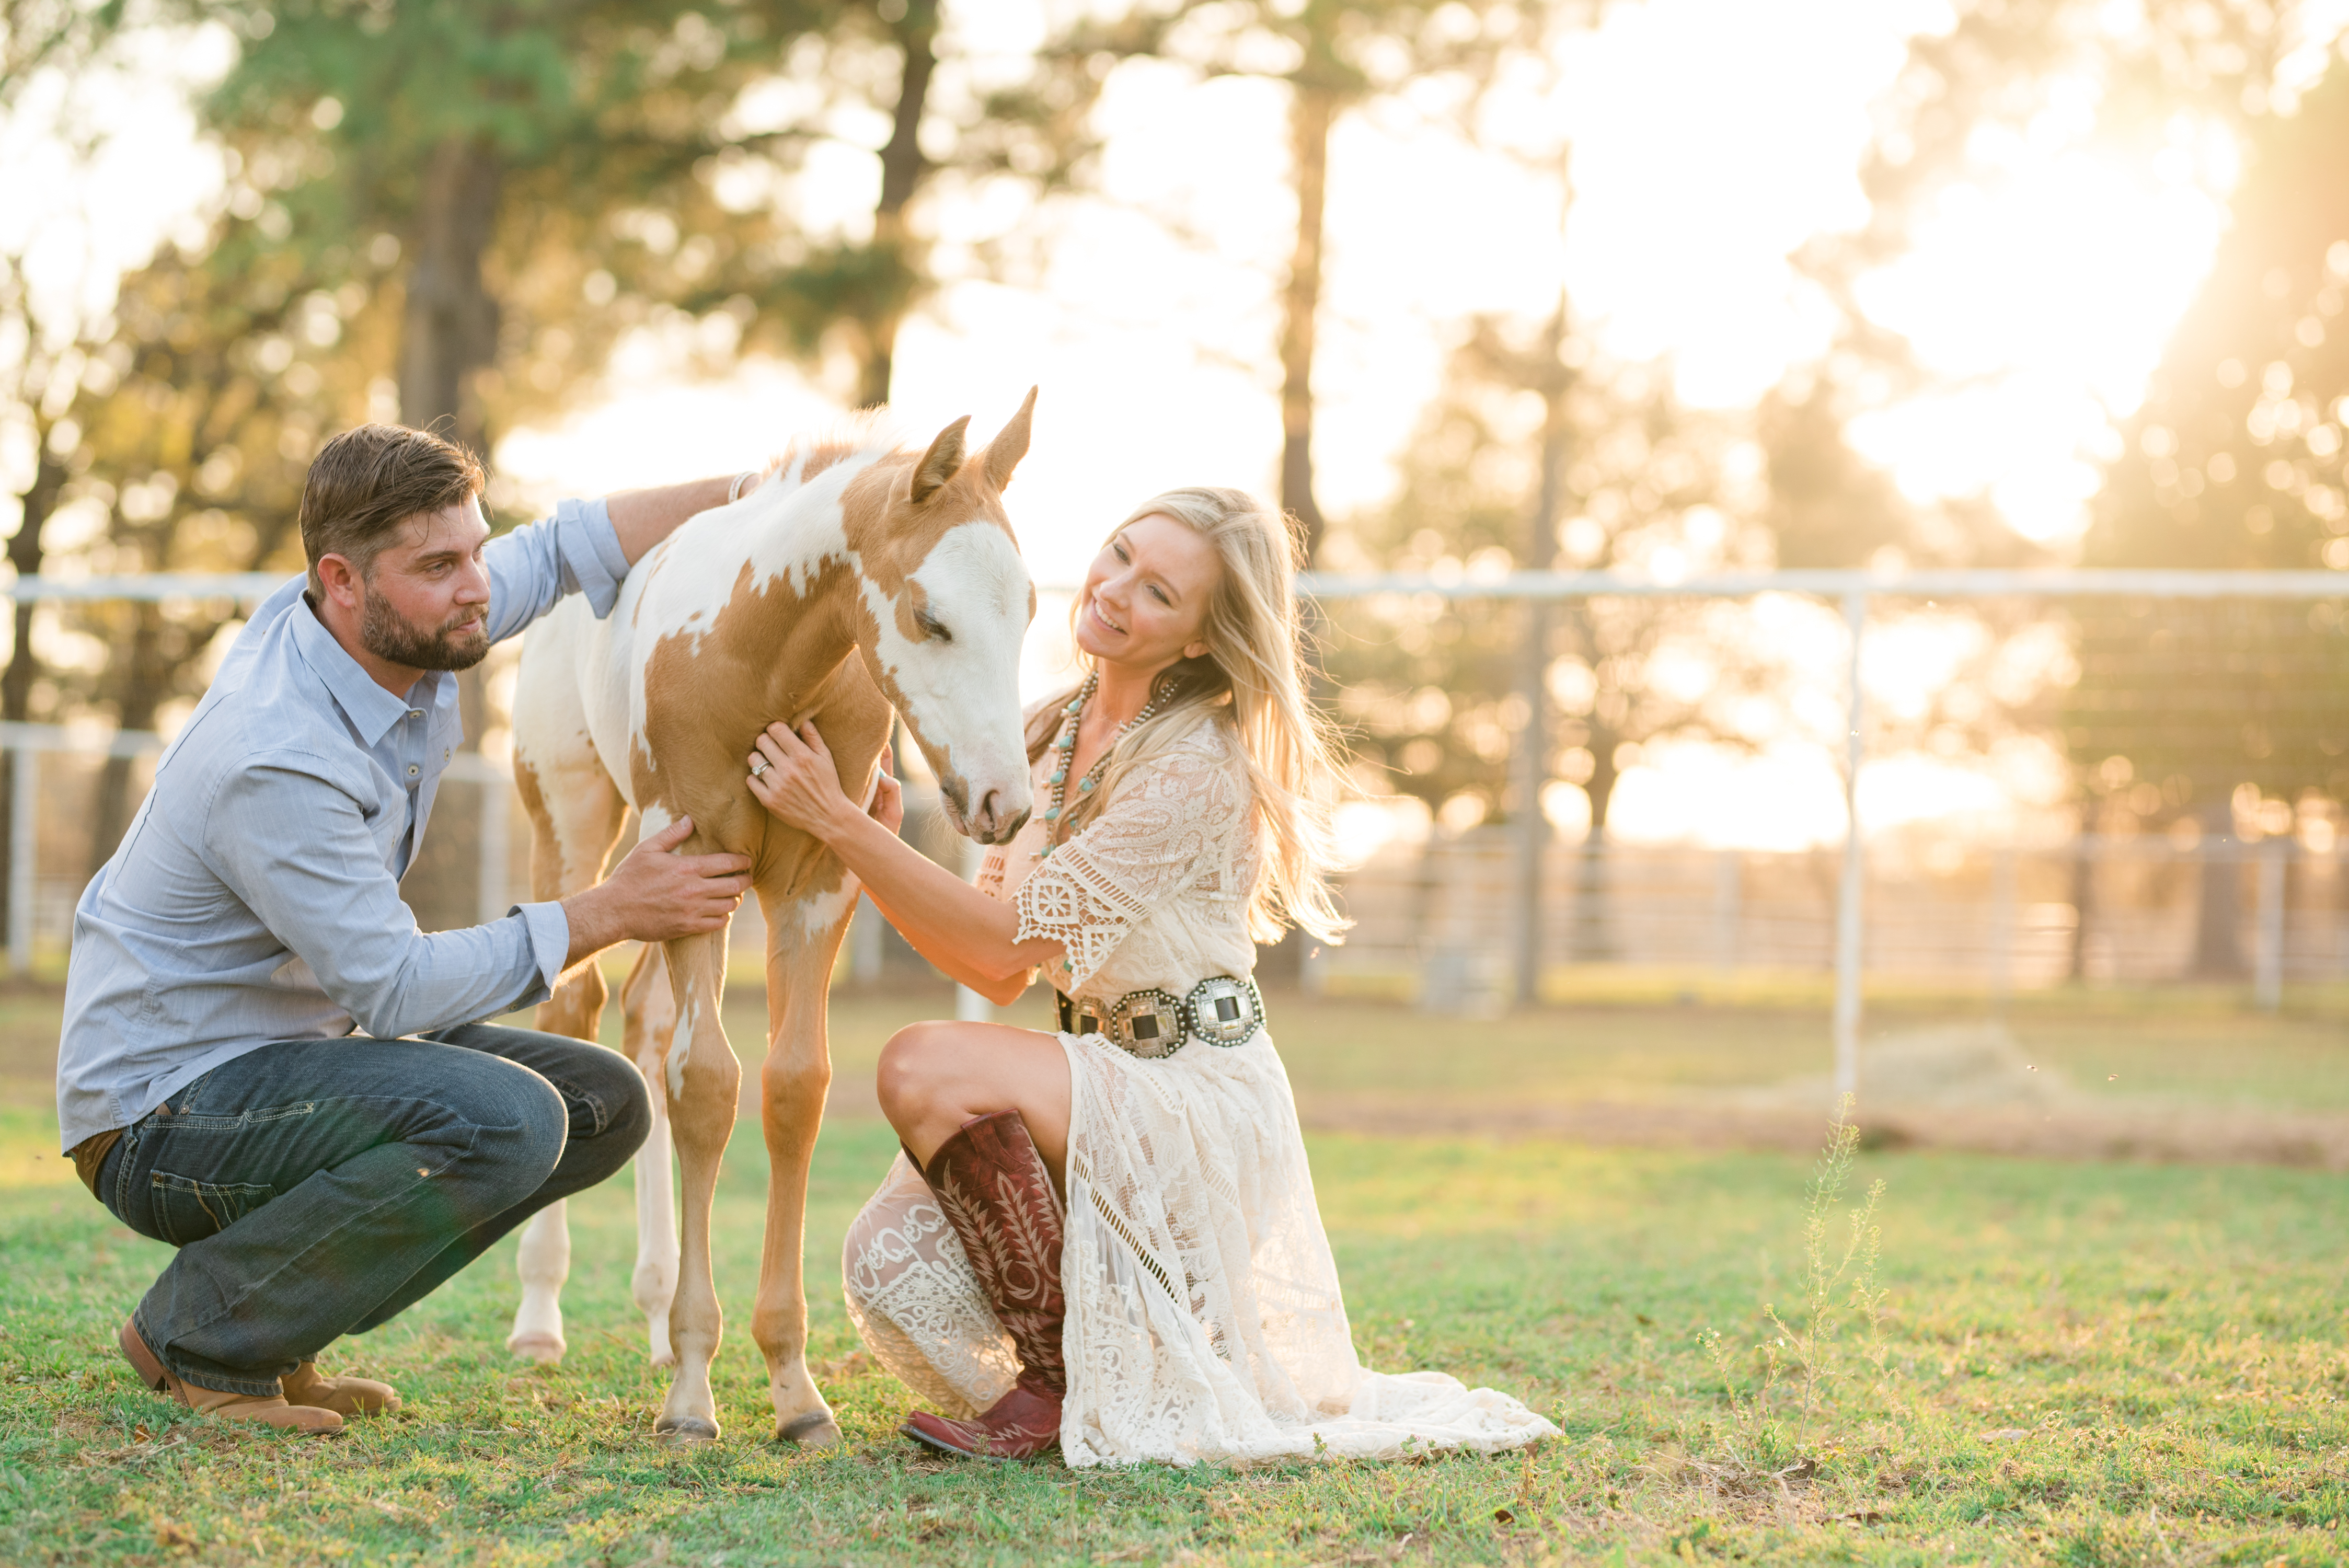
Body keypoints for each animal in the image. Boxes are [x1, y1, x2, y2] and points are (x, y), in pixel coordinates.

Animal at [505, 394, 1038, 1446]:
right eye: (930, 617)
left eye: (1030, 606)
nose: (1005, 802)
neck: (754, 655)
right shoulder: (693, 855)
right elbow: (709, 1085)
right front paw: (691, 1397)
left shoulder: (817, 877)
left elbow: (793, 1089)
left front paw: (792, 1389)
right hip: (574, 819)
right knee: (578, 1006)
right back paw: (543, 1317)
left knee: (644, 1020)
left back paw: (655, 1312)